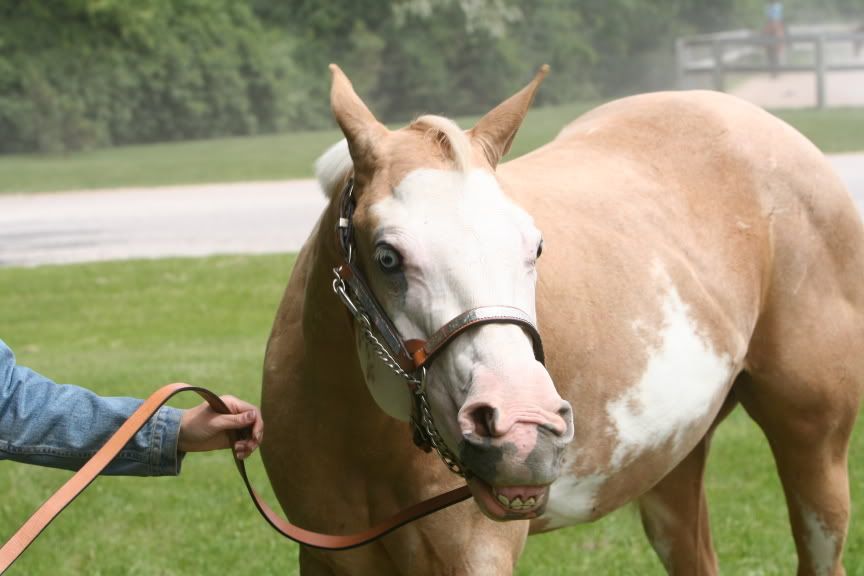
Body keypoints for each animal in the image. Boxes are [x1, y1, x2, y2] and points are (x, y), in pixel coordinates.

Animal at [264, 65, 864, 572]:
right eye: (387, 256)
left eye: (535, 246)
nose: (522, 431)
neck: (361, 442)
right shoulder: (326, 558)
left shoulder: (475, 556)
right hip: (673, 464)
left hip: (815, 448)